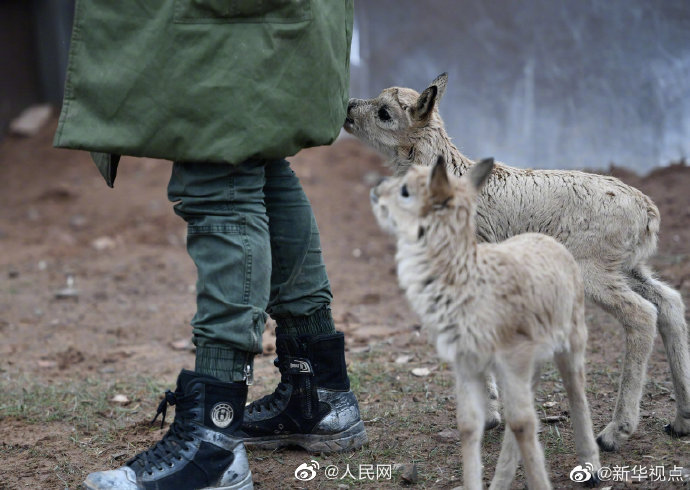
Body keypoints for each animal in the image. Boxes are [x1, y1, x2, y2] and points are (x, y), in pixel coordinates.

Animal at [344, 74, 688, 450]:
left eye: (384, 113)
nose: (348, 108)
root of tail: (648, 213)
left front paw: (490, 414)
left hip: (593, 269)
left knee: (642, 315)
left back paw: (615, 432)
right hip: (628, 267)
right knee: (669, 303)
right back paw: (681, 419)